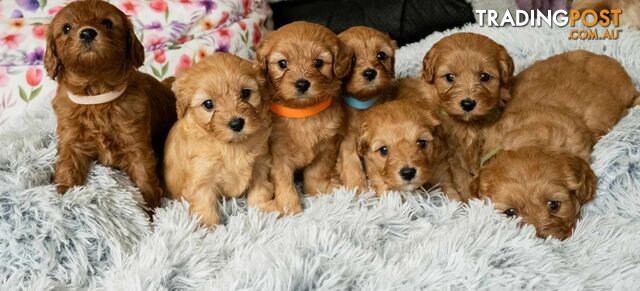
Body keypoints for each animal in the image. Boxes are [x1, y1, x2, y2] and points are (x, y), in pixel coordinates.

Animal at [44, 0, 175, 211]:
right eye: (66, 28)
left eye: (107, 23)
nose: (87, 33)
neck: (97, 94)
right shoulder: (71, 140)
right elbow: (67, 167)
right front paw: (64, 197)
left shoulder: (136, 144)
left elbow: (144, 177)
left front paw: (150, 211)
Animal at [256, 21, 350, 214]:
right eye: (282, 63)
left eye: (318, 63)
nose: (302, 84)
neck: (303, 113)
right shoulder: (278, 155)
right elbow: (284, 182)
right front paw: (291, 209)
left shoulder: (327, 147)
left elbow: (316, 172)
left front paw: (315, 191)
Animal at [420, 31, 516, 201]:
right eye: (449, 77)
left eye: (484, 76)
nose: (467, 104)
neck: (468, 125)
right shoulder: (453, 153)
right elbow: (461, 178)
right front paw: (469, 201)